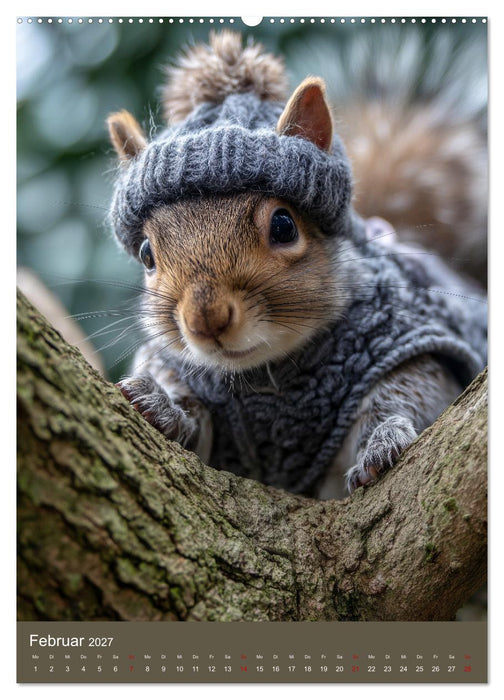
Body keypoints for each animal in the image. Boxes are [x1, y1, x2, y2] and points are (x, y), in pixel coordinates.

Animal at [106, 31, 487, 500]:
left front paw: (382, 441)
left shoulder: (409, 342)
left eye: (284, 225)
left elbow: (410, 394)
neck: (266, 375)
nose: (205, 320)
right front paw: (161, 405)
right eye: (146, 253)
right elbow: (193, 421)